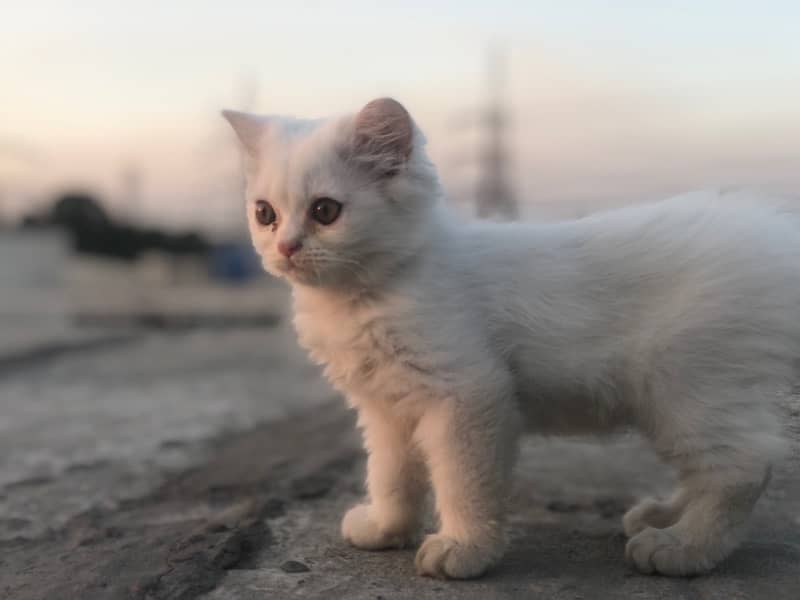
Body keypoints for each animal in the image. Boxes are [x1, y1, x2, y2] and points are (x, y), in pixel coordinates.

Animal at [222, 98, 800, 576]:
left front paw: (465, 548)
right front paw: (387, 529)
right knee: (718, 469)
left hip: (688, 389)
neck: (365, 296)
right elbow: (390, 475)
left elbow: (463, 482)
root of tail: (773, 233)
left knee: (745, 466)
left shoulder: (469, 395)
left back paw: (680, 547)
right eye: (265, 214)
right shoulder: (386, 408)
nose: (286, 247)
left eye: (325, 211)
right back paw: (661, 516)